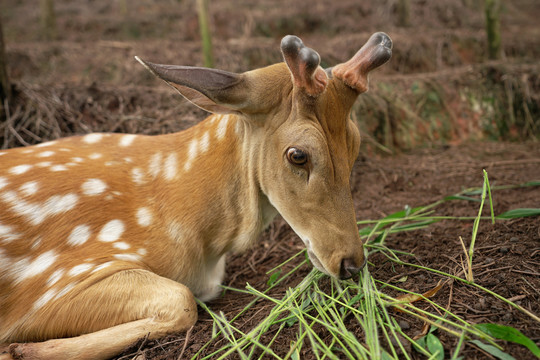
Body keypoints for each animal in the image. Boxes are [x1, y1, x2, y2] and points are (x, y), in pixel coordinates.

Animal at [0, 32, 390, 358]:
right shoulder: (49, 284)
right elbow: (181, 298)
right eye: (298, 155)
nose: (352, 263)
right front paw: (18, 349)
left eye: (355, 143)